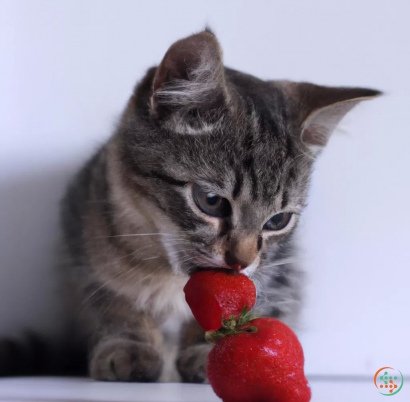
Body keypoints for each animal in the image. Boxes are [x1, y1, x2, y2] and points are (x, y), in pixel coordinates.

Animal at [0, 29, 380, 382]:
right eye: (211, 202)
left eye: (278, 220)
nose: (241, 262)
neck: (166, 274)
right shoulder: (84, 239)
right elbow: (115, 302)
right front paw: (129, 347)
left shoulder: (278, 275)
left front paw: (212, 354)